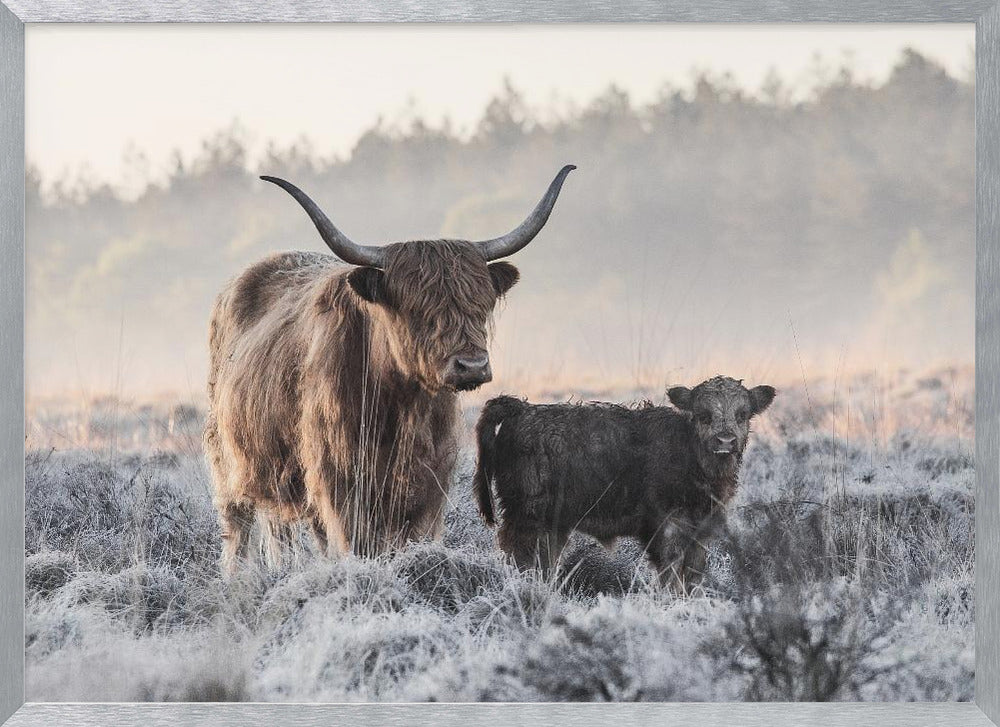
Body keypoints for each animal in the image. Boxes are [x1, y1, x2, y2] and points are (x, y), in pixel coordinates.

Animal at [205, 165, 575, 575]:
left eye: (481, 304)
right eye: (417, 309)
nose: (472, 365)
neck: (401, 405)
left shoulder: (430, 484)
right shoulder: (340, 481)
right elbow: (356, 543)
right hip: (228, 460)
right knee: (238, 527)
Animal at [473, 376, 776, 593]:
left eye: (743, 414)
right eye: (703, 414)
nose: (725, 441)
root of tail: (522, 409)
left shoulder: (700, 530)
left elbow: (693, 574)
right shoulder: (667, 527)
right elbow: (671, 573)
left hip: (554, 525)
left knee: (545, 560)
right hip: (527, 515)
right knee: (521, 556)